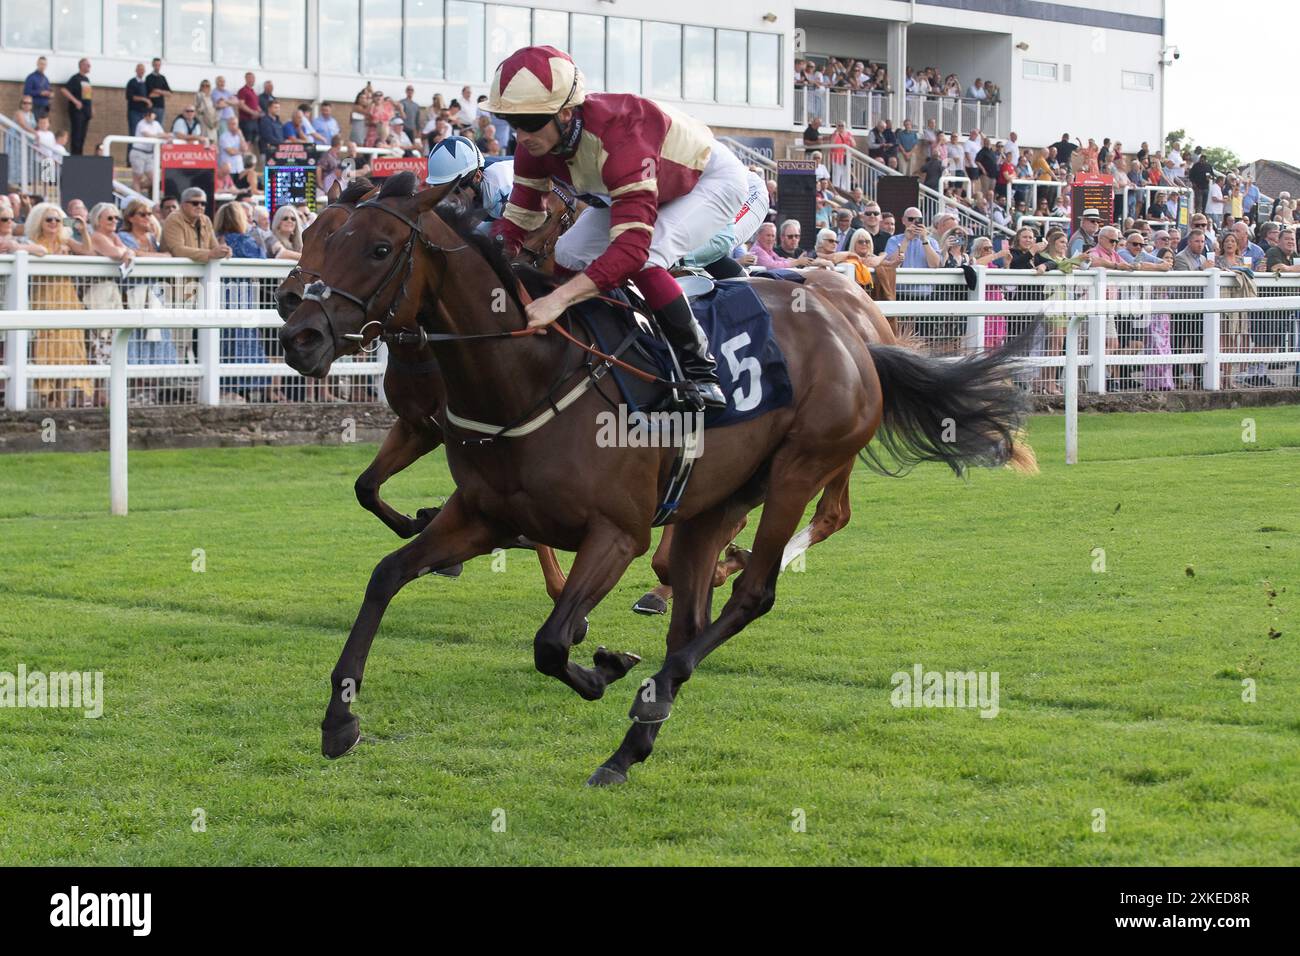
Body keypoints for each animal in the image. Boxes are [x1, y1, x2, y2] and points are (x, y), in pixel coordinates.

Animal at [287, 178, 1034, 785]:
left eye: (379, 248)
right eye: (316, 234)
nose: (299, 332)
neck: (531, 373)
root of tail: (856, 334)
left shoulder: (618, 534)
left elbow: (552, 641)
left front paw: (605, 667)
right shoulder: (481, 514)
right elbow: (386, 574)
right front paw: (339, 721)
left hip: (800, 468)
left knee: (757, 590)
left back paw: (652, 695)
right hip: (716, 500)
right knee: (693, 612)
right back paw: (633, 742)